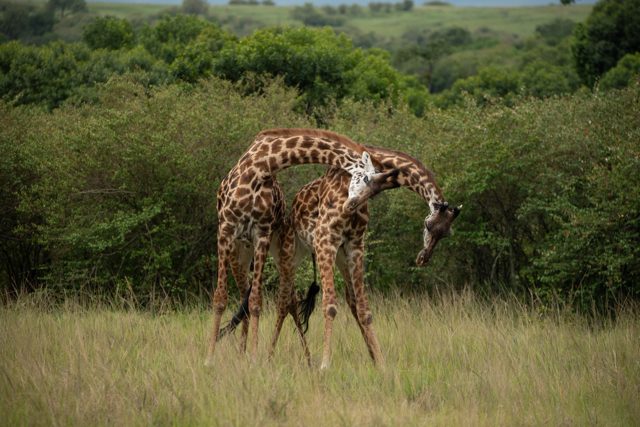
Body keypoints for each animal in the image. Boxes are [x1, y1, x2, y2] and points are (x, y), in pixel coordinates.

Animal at [205, 128, 398, 366]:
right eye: (366, 178)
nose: (351, 205)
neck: (261, 166)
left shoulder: (262, 233)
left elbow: (256, 301)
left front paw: (254, 358)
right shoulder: (225, 228)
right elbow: (220, 298)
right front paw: (209, 358)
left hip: (264, 253)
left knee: (265, 298)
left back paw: (251, 354)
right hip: (239, 252)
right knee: (247, 296)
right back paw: (242, 353)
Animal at [269, 145, 460, 369]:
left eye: (446, 233)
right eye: (428, 225)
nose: (423, 258)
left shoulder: (355, 245)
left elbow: (364, 310)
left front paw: (381, 362)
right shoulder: (325, 239)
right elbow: (330, 306)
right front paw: (325, 364)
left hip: (340, 256)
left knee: (346, 300)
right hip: (290, 253)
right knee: (284, 301)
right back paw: (269, 356)